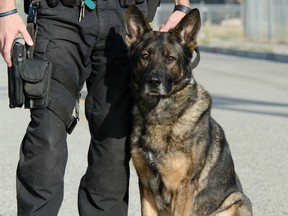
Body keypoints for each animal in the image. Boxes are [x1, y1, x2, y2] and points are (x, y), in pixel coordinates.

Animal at [124, 5, 252, 216]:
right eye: (145, 56)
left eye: (170, 58)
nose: (153, 82)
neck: (159, 116)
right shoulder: (146, 186)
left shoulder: (183, 188)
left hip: (237, 200)